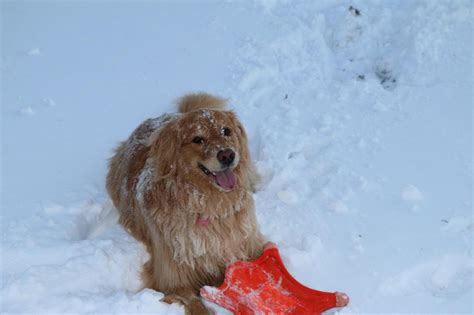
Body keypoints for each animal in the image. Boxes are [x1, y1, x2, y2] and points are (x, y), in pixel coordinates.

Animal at [105, 92, 264, 314]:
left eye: (226, 131)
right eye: (197, 139)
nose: (227, 155)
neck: (207, 206)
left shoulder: (248, 245)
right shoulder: (171, 278)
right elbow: (196, 304)